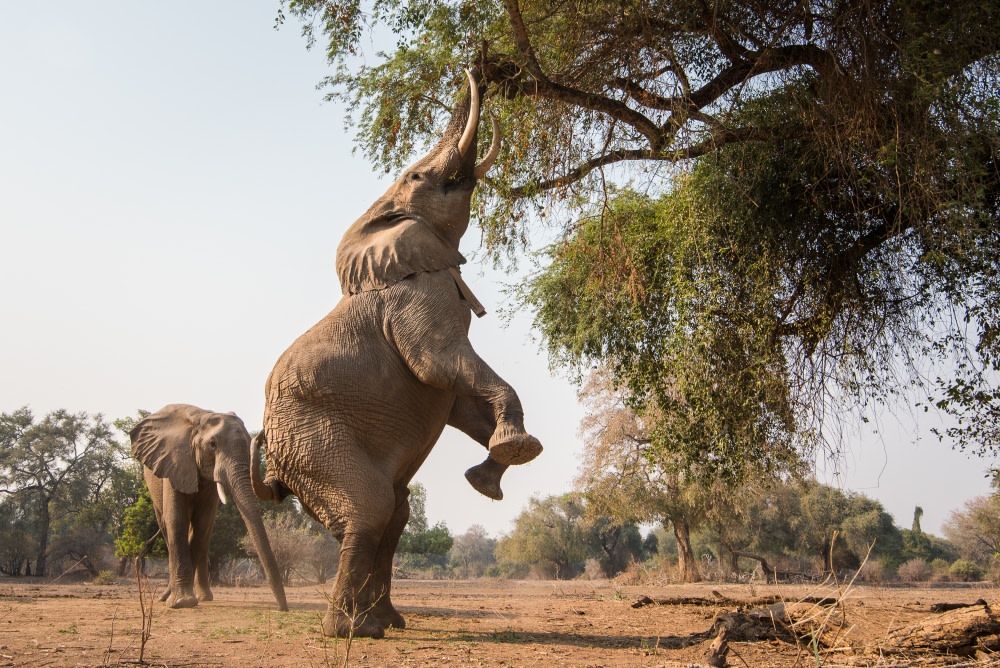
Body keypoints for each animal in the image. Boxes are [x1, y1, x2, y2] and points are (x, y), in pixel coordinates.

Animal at [131, 402, 288, 612]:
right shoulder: (175, 462)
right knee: (166, 527)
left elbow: (202, 524)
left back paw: (204, 597)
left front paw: (183, 600)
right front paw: (181, 603)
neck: (201, 418)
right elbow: (176, 521)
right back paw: (167, 596)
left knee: (203, 536)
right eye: (212, 445)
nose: (282, 609)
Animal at [254, 70, 544, 640]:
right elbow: (441, 365)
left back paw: (385, 622)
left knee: (395, 513)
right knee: (370, 508)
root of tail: (273, 465)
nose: (479, 68)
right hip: (311, 440)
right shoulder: (416, 300)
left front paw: (491, 473)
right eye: (416, 175)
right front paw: (516, 449)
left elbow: (457, 399)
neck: (382, 217)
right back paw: (350, 632)